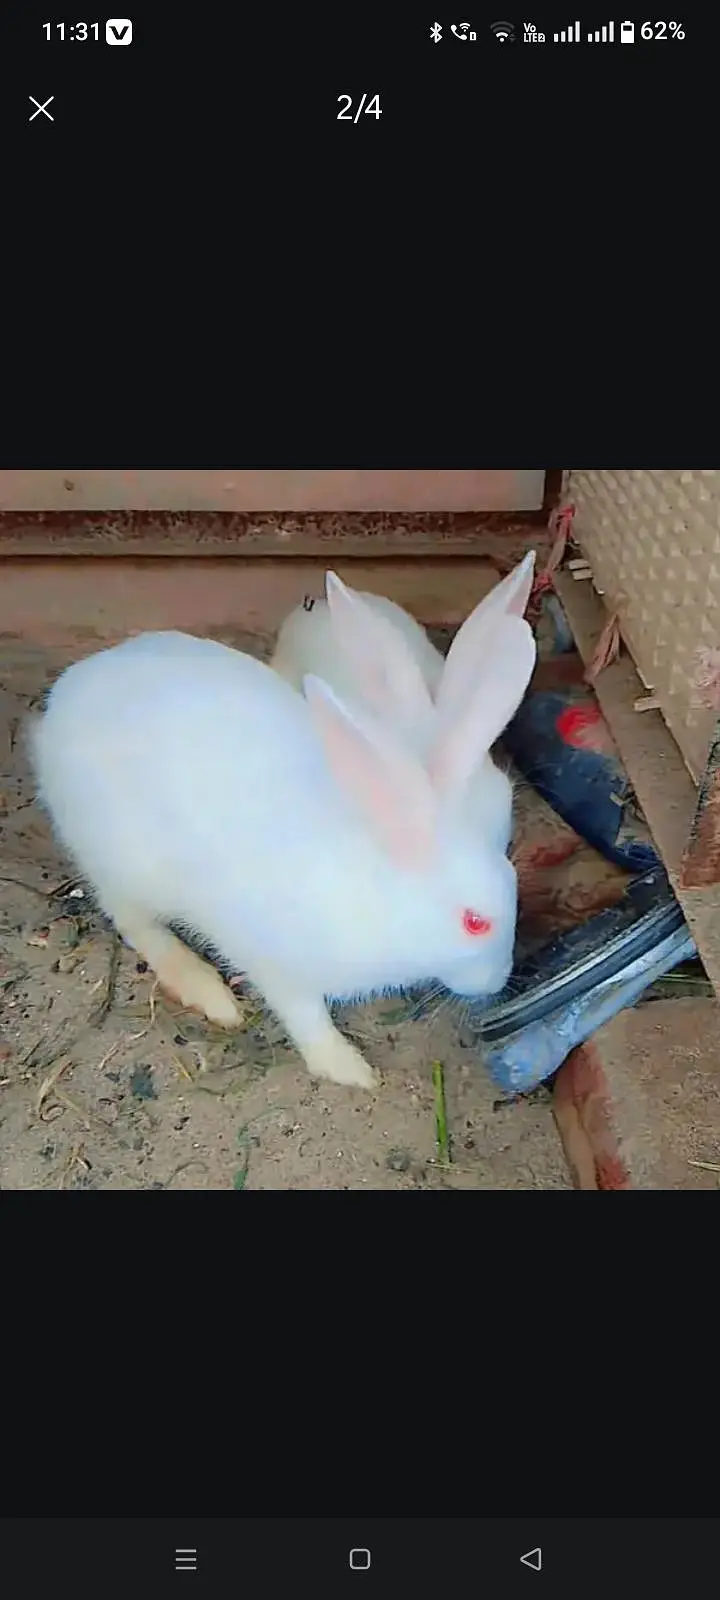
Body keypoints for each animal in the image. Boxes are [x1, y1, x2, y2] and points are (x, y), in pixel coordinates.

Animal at [30, 617, 535, 1091]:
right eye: (475, 922)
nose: (499, 979)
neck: (380, 887)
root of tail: (65, 697)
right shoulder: (275, 963)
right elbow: (304, 1014)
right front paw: (350, 1069)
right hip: (122, 864)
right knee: (134, 922)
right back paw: (207, 991)